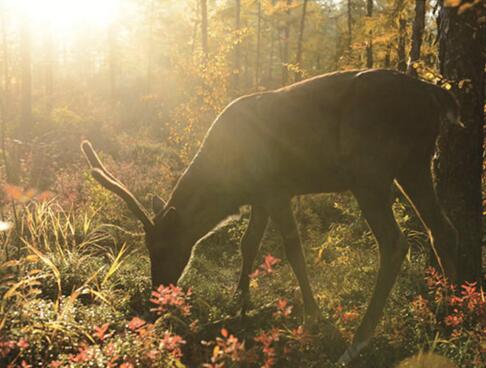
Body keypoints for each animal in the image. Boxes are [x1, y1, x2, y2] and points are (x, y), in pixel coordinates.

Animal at [81, 69, 462, 366]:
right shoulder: (260, 198)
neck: (229, 184)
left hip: (369, 169)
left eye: (161, 247)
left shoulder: (277, 190)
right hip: (414, 164)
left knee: (395, 242)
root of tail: (434, 95)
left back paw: (359, 340)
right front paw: (239, 302)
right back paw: (454, 314)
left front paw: (312, 317)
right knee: (442, 229)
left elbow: (293, 250)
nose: (157, 292)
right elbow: (247, 244)